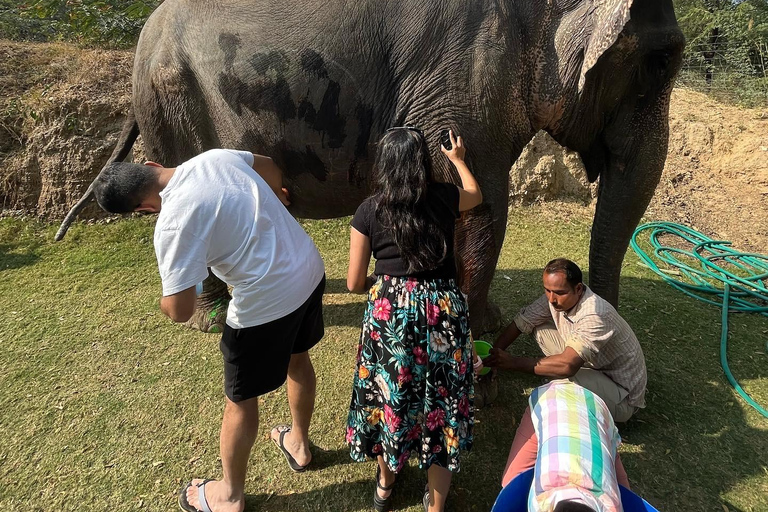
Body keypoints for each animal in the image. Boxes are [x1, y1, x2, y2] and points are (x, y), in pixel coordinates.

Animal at [55, 0, 684, 336]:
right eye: (660, 62)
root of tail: (141, 40)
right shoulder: (461, 78)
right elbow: (482, 204)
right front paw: (480, 335)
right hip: (173, 102)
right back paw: (211, 318)